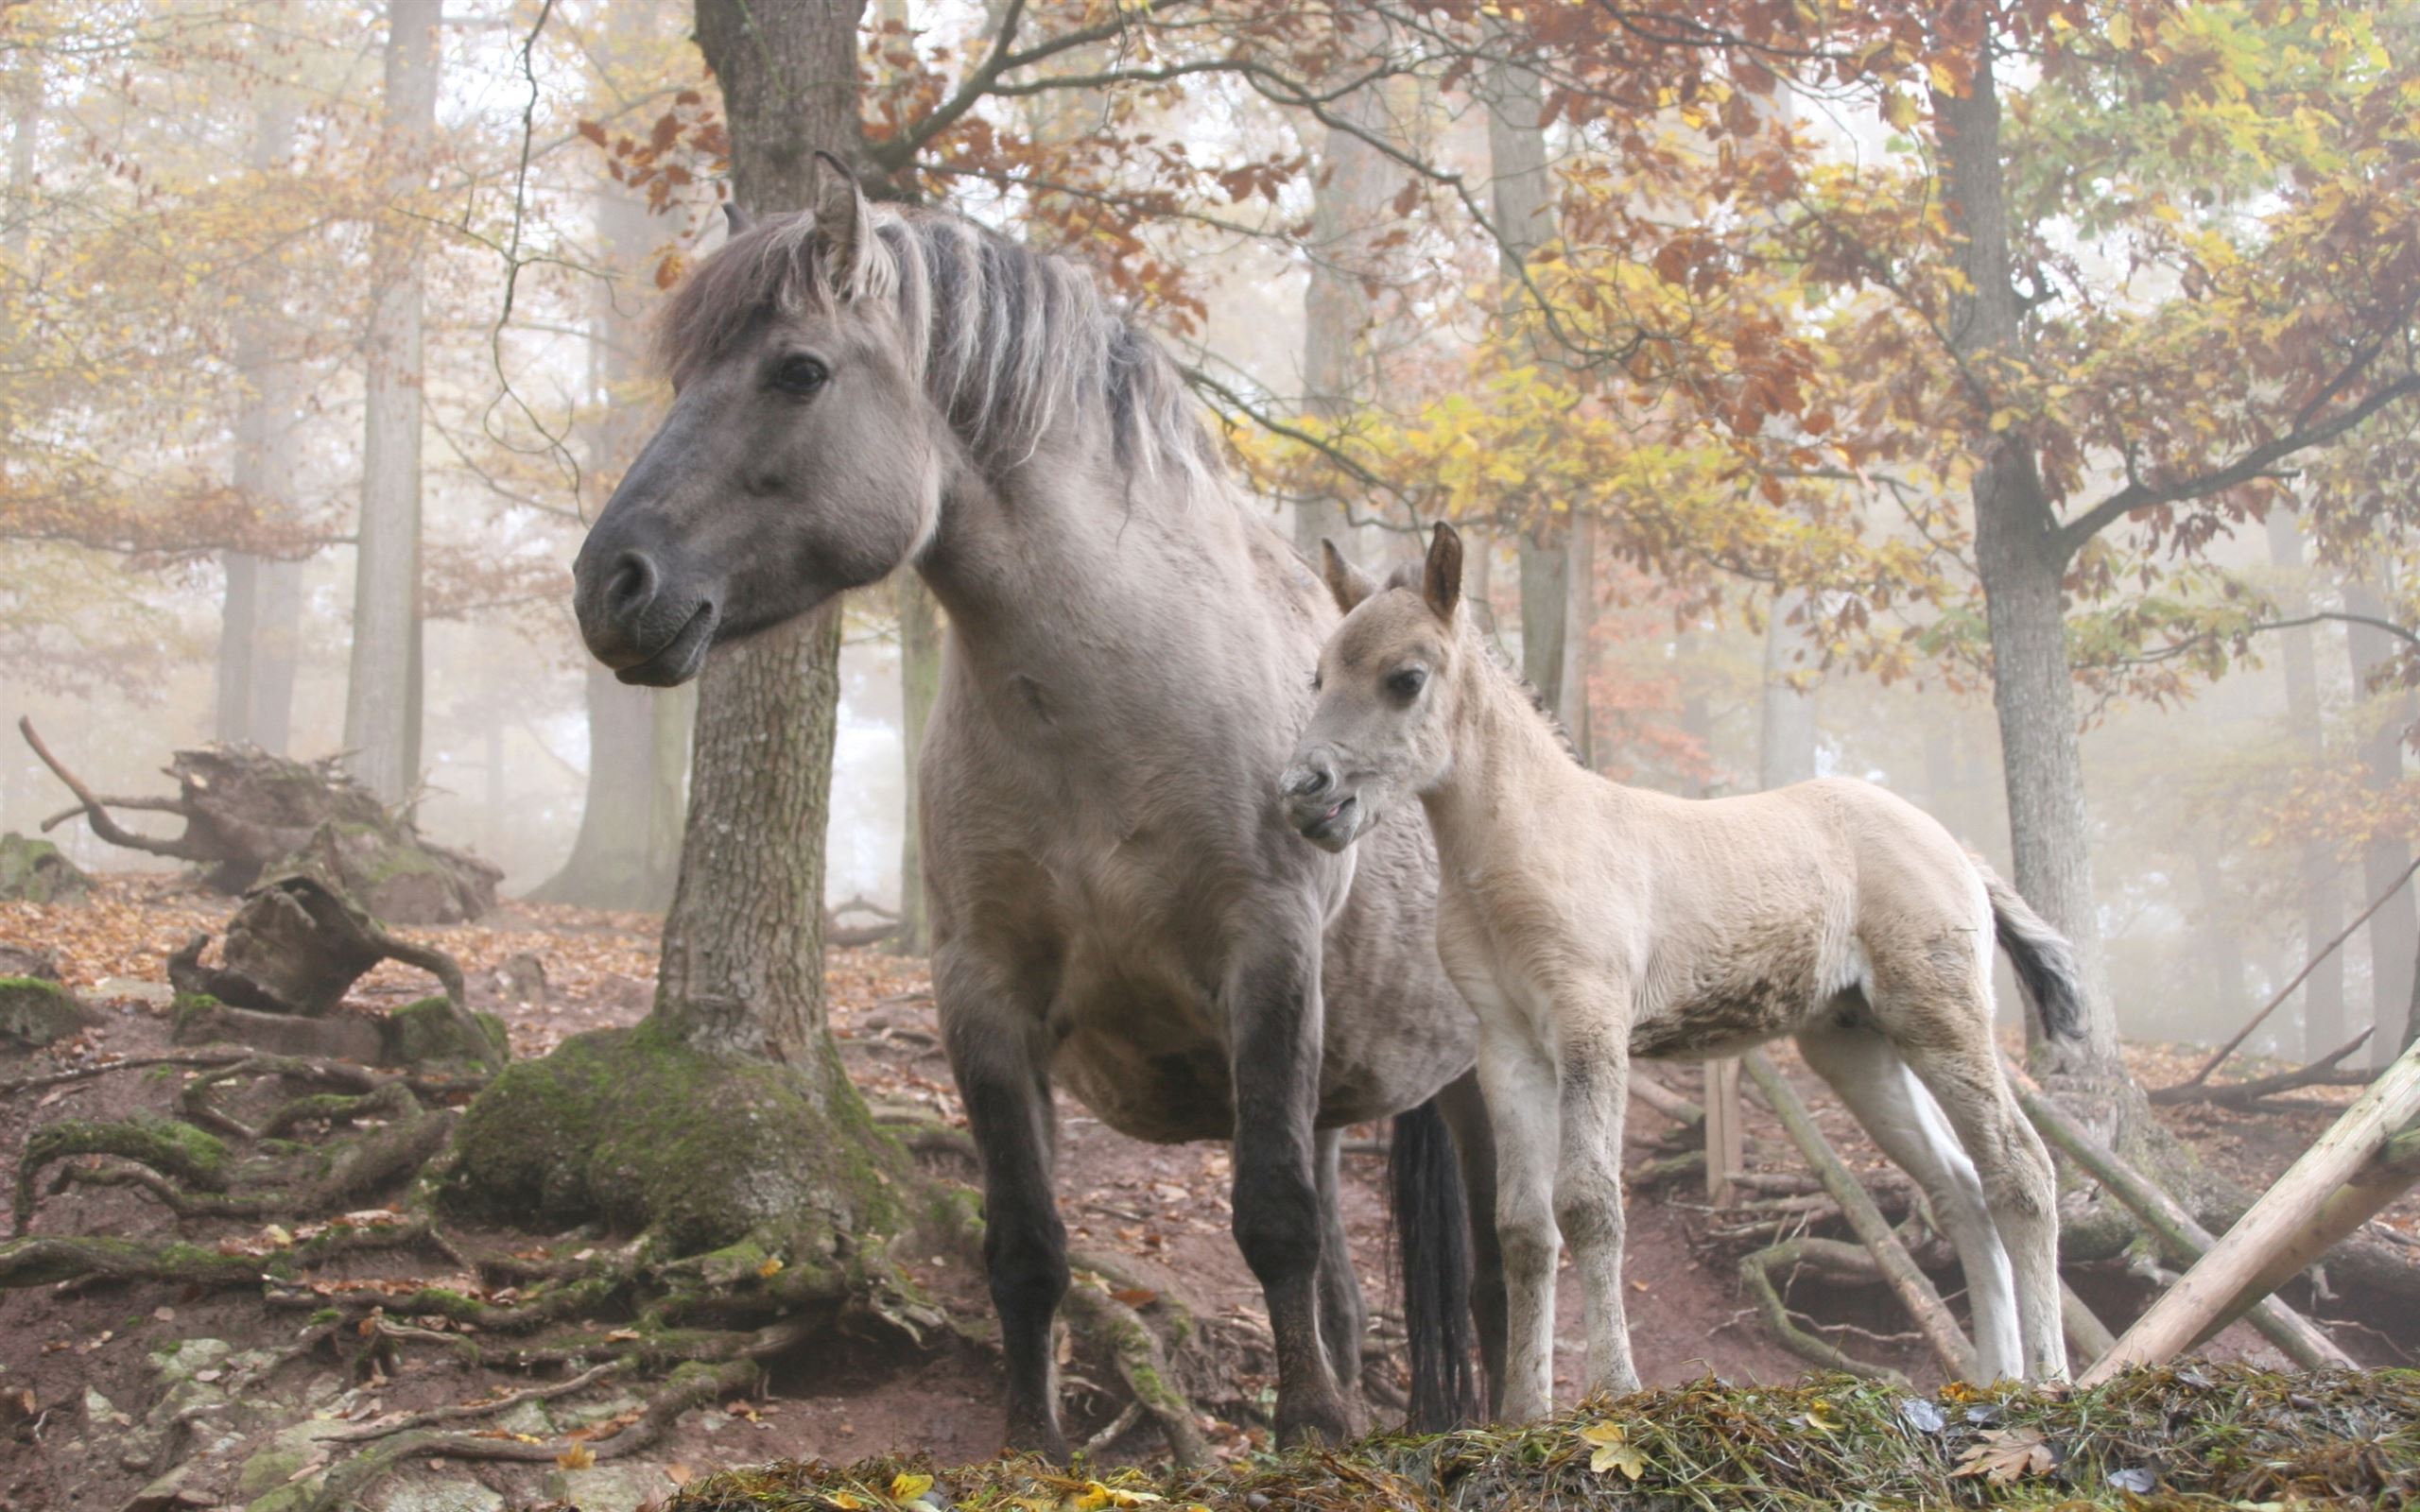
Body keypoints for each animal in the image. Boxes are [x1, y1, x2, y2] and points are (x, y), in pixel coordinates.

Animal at [568, 158, 1504, 1453]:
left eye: (798, 370)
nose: (611, 587)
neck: (1103, 714)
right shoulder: (984, 993)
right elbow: (1025, 1244)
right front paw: (1034, 1443)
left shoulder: (1265, 956)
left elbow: (1270, 1217)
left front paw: (1310, 1433)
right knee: (1349, 1279)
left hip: (1482, 1081)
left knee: (1504, 1270)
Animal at [1279, 522, 2079, 1419]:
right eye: (1320, 677)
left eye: (1405, 679)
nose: (1306, 792)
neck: (1530, 843)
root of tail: (1958, 852)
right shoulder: (1509, 1048)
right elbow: (1523, 1226)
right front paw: (1523, 1415)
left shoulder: (1591, 1027)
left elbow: (1589, 1205)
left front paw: (1615, 1391)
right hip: (1856, 1045)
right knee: (1960, 1192)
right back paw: (1993, 1381)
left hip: (1940, 1018)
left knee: (2020, 1170)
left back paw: (2048, 1378)